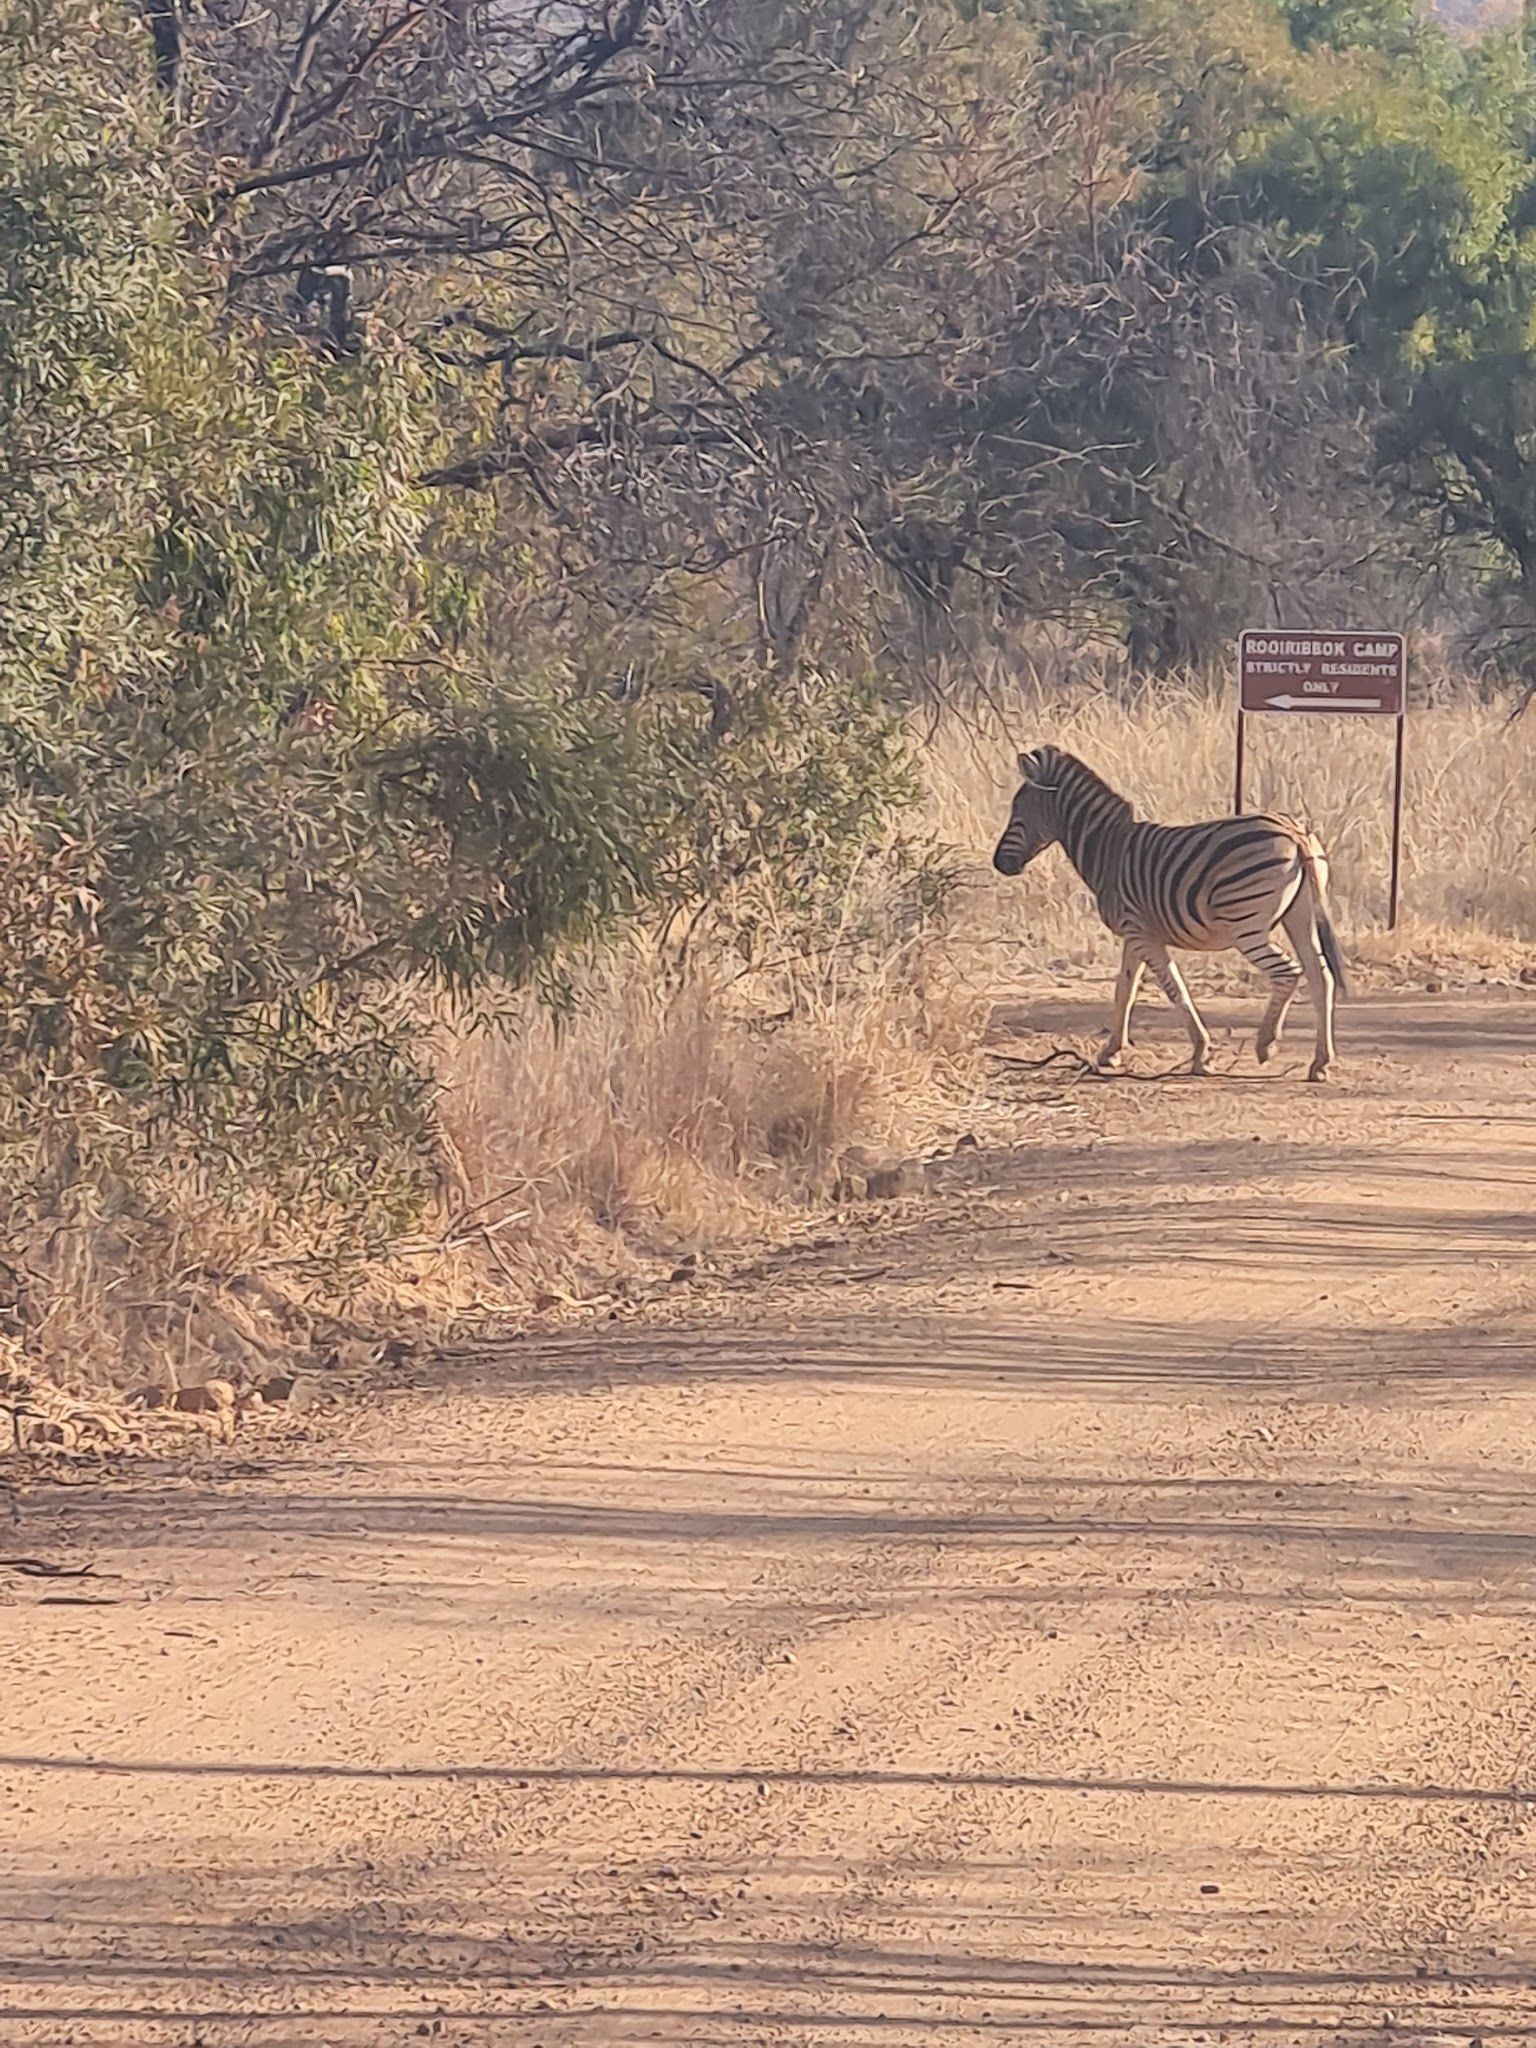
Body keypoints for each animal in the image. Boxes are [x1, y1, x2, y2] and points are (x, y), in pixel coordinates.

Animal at [999, 745, 1343, 1081]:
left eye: (1018, 813)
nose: (998, 863)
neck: (1108, 850)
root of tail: (1295, 832)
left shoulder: (1141, 932)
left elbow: (1173, 988)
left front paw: (1201, 1054)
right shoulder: (1136, 933)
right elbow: (1125, 989)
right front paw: (1110, 1052)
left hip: (1245, 925)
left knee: (1288, 972)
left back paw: (1266, 1044)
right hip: (1299, 916)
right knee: (1321, 976)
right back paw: (1320, 1062)